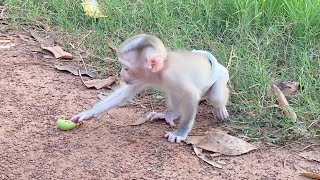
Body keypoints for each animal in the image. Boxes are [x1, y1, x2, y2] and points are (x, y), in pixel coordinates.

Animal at [72, 33, 230, 143]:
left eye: (126, 68)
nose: (121, 74)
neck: (161, 70)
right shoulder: (142, 78)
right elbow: (124, 94)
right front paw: (89, 112)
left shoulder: (172, 76)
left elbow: (191, 95)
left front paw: (180, 133)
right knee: (174, 94)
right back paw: (172, 114)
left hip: (220, 76)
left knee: (215, 97)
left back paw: (220, 108)